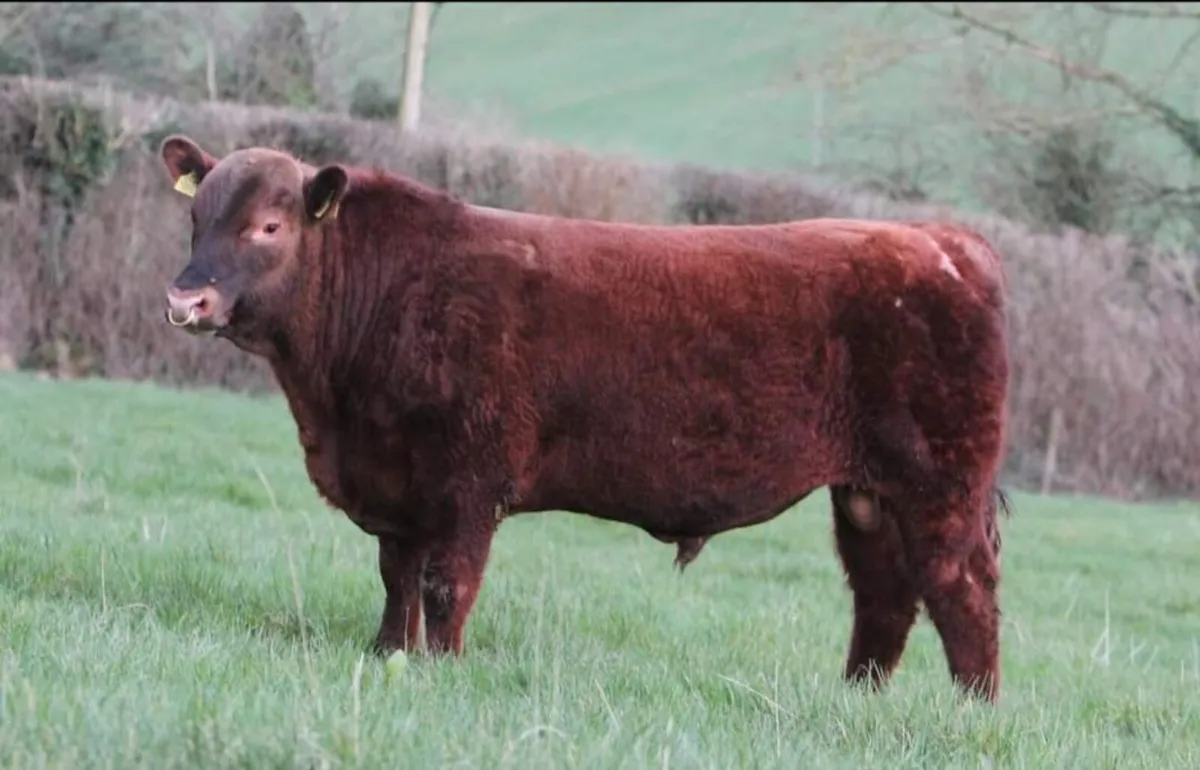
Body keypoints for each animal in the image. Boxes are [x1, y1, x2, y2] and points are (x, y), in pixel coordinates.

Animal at [155, 134, 1012, 702]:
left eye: (269, 227)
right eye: (196, 219)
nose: (184, 300)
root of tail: (937, 240)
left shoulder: (468, 482)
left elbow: (445, 585)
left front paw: (439, 669)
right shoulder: (396, 484)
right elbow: (396, 580)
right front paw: (383, 655)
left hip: (938, 481)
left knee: (961, 588)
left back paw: (971, 711)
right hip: (867, 493)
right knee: (885, 594)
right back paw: (858, 698)